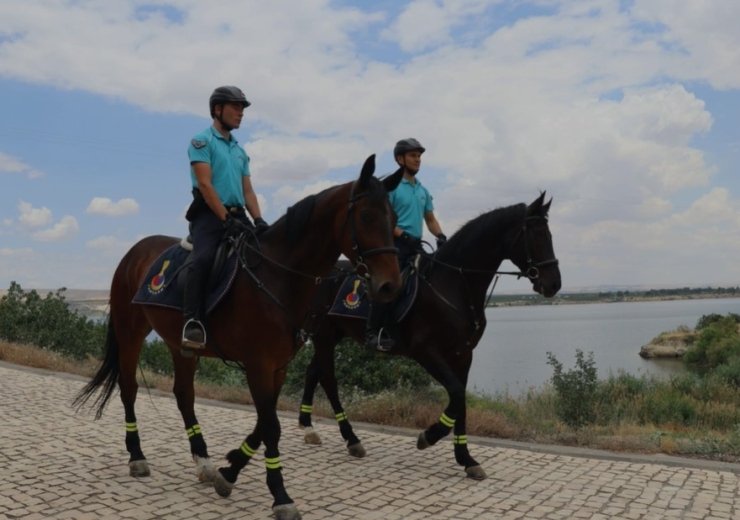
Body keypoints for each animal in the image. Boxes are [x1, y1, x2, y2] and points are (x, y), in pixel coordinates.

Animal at [72, 154, 402, 520]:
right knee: (129, 388)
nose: (390, 285)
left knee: (184, 395)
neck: (278, 276)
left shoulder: (277, 366)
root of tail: (134, 251)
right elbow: (270, 425)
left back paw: (203, 461)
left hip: (179, 344)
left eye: (394, 219)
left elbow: (264, 420)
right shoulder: (258, 363)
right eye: (367, 216)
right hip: (130, 332)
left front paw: (229, 470)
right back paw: (137, 457)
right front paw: (280, 495)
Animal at [294, 191, 560, 480]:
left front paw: (466, 459)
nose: (554, 284)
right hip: (323, 336)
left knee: (312, 372)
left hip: (332, 336)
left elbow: (460, 401)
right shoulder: (426, 352)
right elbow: (455, 393)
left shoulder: (463, 355)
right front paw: (429, 436)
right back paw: (351, 439)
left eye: (549, 235)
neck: (453, 284)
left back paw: (308, 427)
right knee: (329, 380)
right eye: (536, 236)